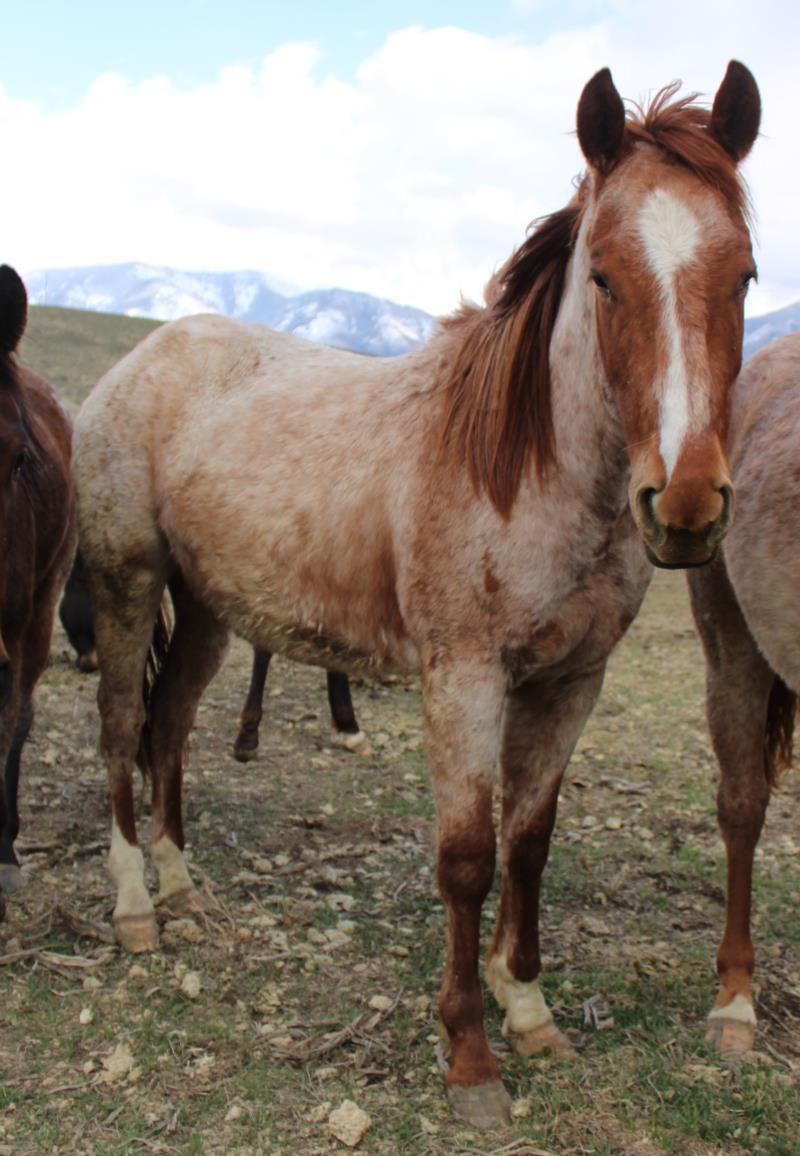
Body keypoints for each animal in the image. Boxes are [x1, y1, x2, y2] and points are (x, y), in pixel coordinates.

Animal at [73, 65, 758, 1128]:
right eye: (605, 277)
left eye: (747, 277)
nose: (684, 504)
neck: (529, 469)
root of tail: (147, 357)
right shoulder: (463, 679)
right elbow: (468, 857)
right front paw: (471, 1058)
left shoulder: (572, 684)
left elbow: (529, 843)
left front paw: (531, 1013)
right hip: (128, 583)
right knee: (117, 729)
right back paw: (137, 909)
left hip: (212, 615)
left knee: (168, 730)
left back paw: (183, 892)